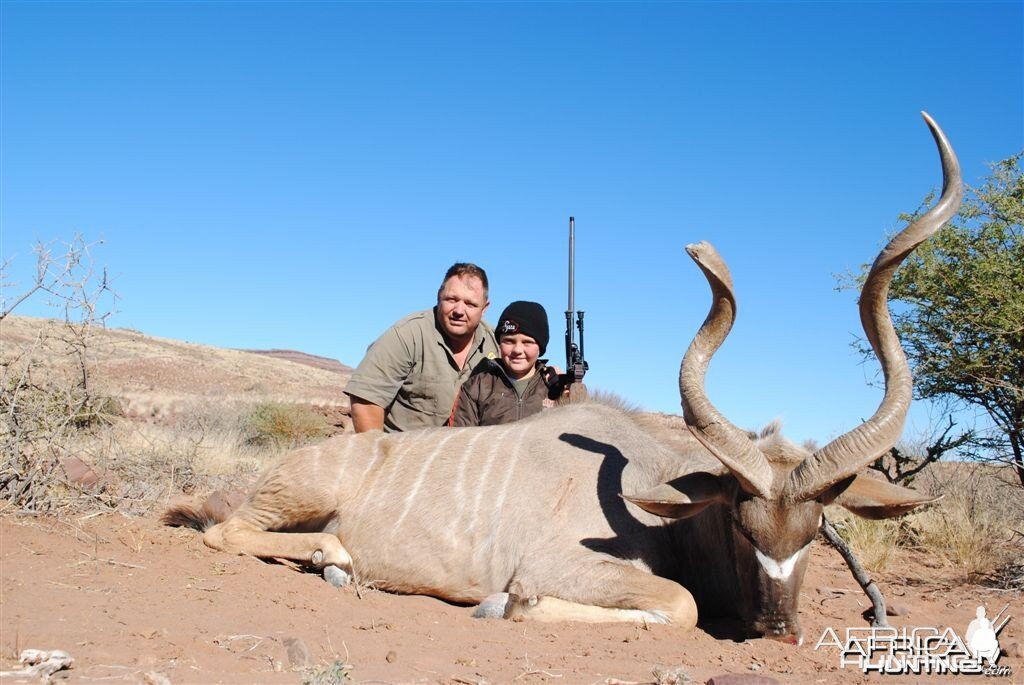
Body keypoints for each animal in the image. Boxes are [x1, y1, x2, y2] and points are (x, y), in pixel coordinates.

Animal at [165, 111, 958, 643]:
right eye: (740, 519)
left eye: (819, 528)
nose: (777, 628)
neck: (651, 498)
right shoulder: (561, 568)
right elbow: (675, 605)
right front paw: (504, 605)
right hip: (297, 498)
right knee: (226, 532)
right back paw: (333, 555)